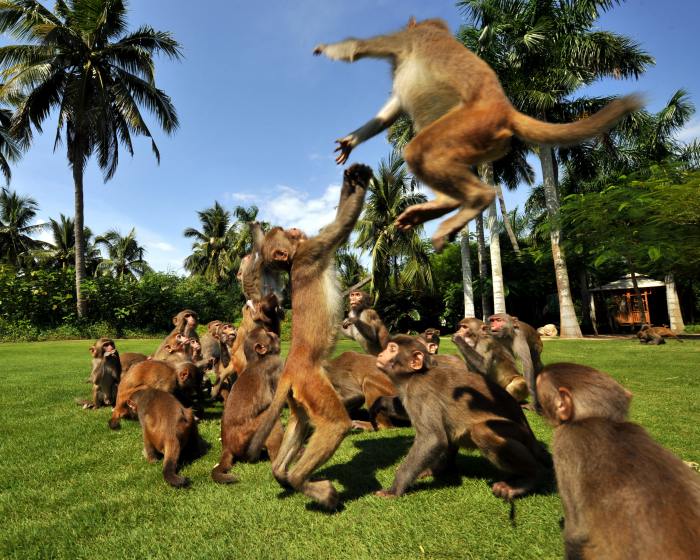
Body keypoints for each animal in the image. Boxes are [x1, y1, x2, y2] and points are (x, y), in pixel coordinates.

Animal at [211, 328, 284, 486]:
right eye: (268, 335)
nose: (275, 333)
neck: (257, 360)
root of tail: (226, 446)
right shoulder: (274, 362)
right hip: (244, 437)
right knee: (271, 418)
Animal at [245, 163, 372, 512]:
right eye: (289, 234)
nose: (295, 229)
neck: (293, 261)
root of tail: (291, 367)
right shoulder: (313, 249)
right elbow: (341, 225)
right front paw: (357, 180)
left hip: (299, 395)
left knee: (300, 424)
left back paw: (282, 474)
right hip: (313, 383)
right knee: (335, 424)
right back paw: (309, 485)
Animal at [314, 16, 644, 250]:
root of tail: (506, 110)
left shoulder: (402, 39)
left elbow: (356, 49)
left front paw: (326, 48)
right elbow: (389, 113)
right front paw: (351, 141)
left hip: (472, 124)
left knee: (420, 151)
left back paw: (475, 199)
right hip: (483, 139)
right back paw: (444, 204)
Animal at [374, 334, 548, 500]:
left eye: (392, 349)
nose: (380, 353)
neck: (412, 376)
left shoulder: (418, 390)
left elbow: (432, 438)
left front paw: (395, 488)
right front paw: (379, 403)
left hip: (519, 434)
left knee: (481, 431)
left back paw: (531, 477)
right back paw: (441, 468)